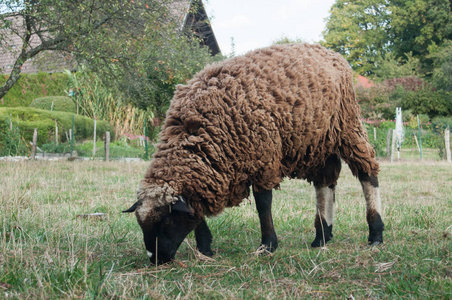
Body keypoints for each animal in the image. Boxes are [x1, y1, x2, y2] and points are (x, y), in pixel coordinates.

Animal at [124, 43, 384, 264]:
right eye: (141, 225)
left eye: (166, 221)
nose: (155, 259)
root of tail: (330, 53)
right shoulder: (207, 175)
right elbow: (198, 210)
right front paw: (205, 248)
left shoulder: (263, 157)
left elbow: (263, 205)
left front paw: (267, 245)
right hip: (319, 141)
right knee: (326, 182)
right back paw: (321, 236)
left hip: (347, 125)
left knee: (367, 173)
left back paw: (375, 234)